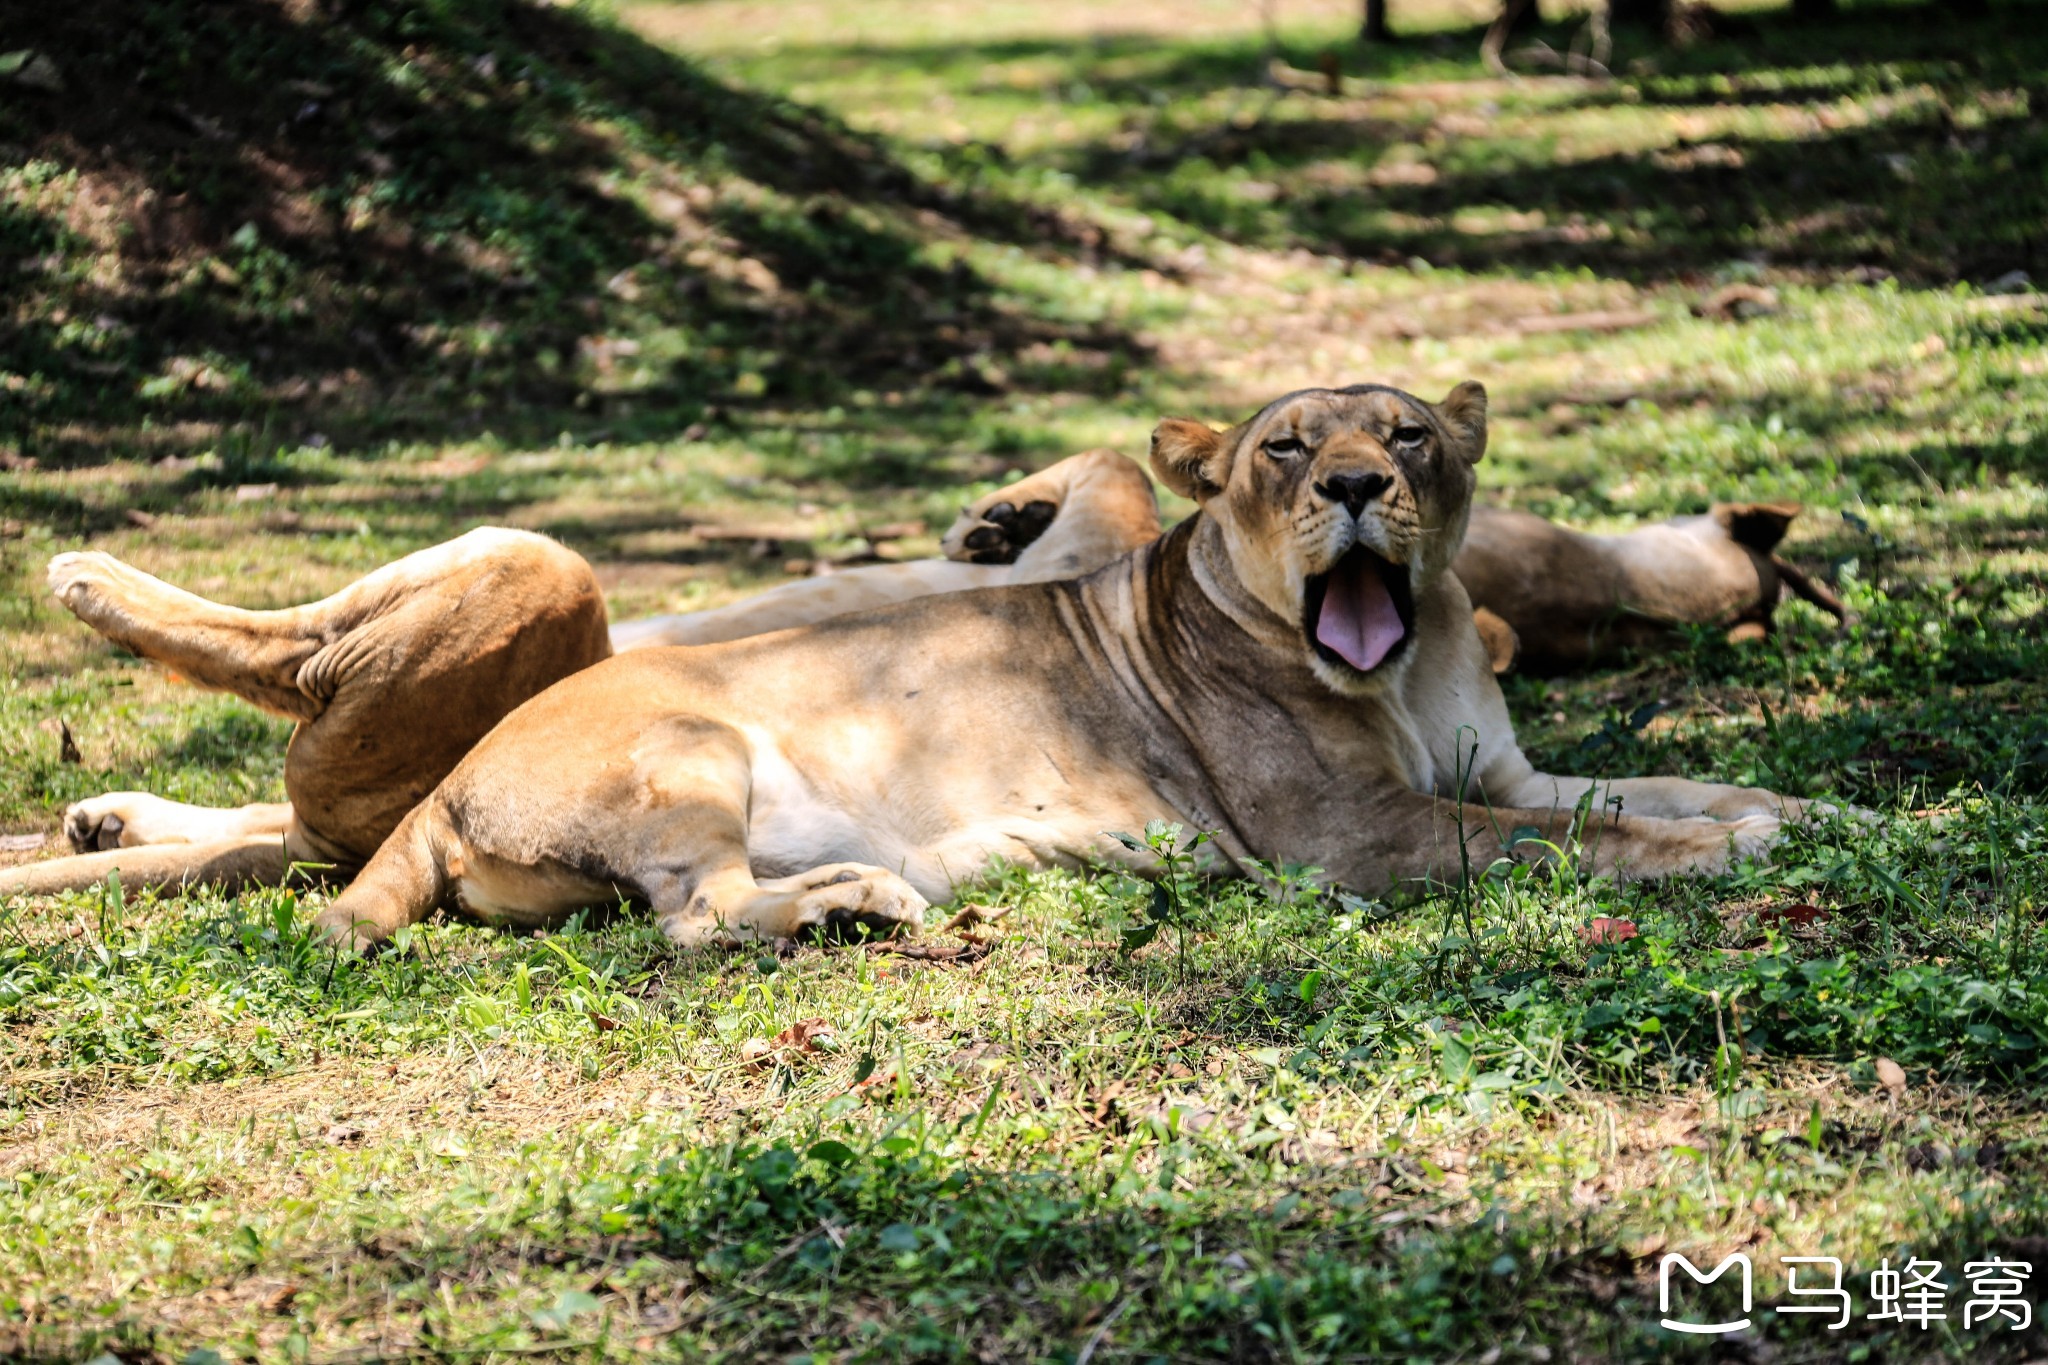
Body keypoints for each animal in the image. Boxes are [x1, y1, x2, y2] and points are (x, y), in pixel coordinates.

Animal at [0, 405, 1835, 908]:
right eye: (1288, 451)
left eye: (1403, 440)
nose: (1357, 487)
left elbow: (1613, 796)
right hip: (551, 606)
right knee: (288, 728)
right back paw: (91, 652)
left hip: (528, 628)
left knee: (291, 774)